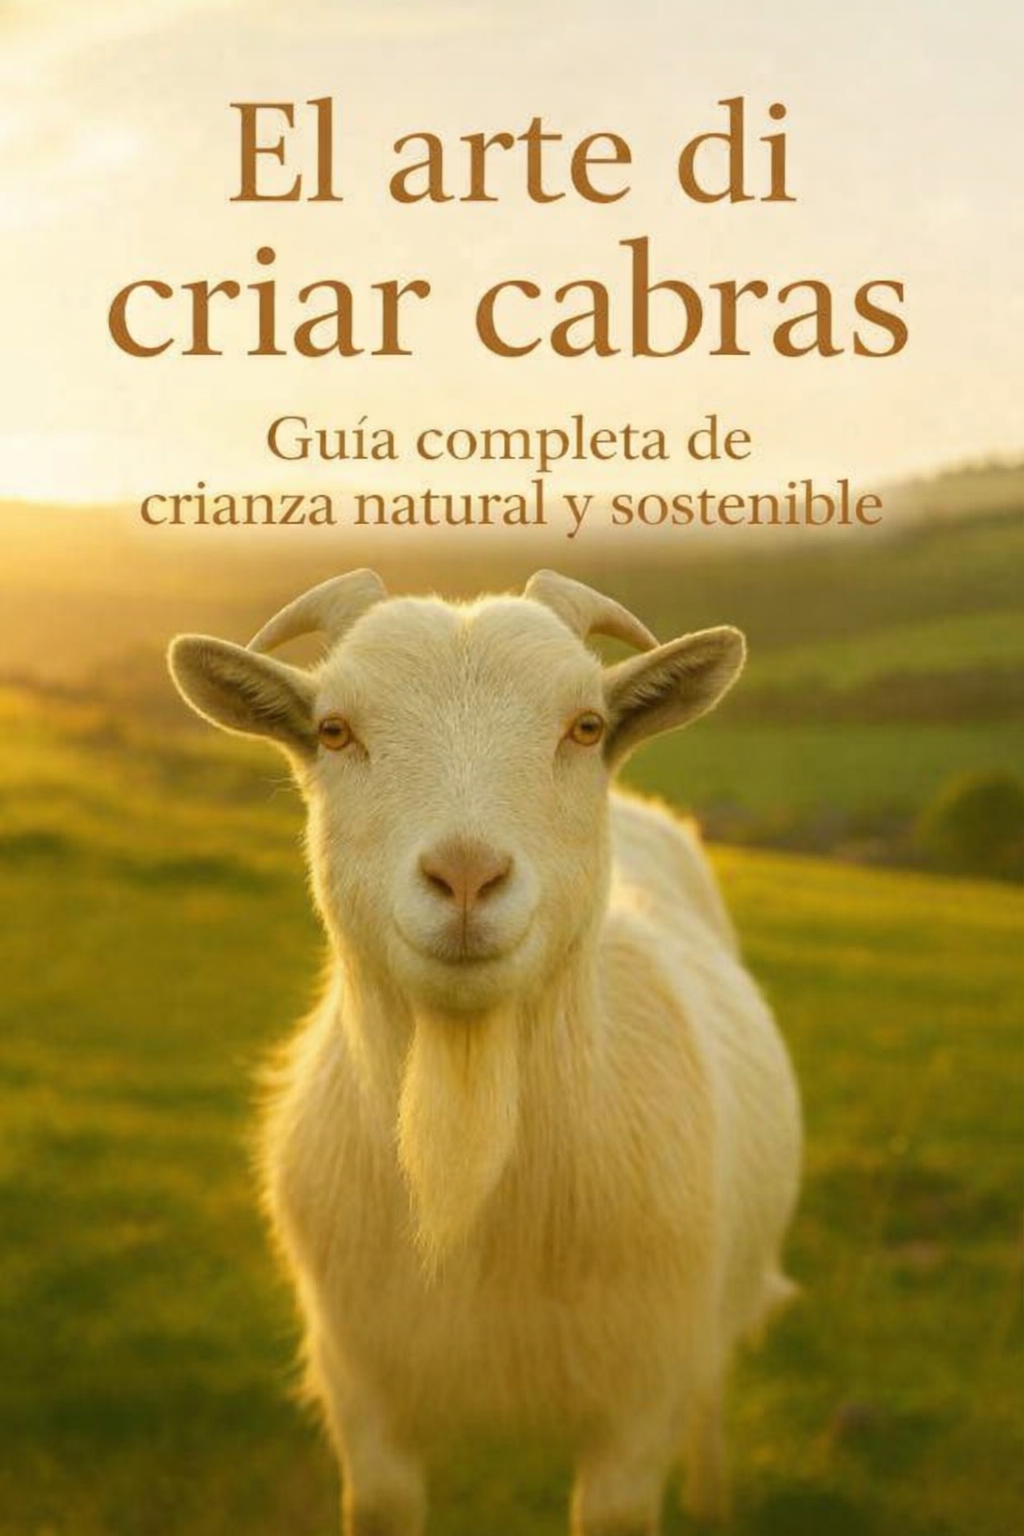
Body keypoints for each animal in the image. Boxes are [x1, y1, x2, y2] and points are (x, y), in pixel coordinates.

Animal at [168, 569, 801, 1536]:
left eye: (586, 726)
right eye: (333, 729)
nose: (466, 877)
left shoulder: (637, 1409)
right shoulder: (364, 1405)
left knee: (712, 1398)